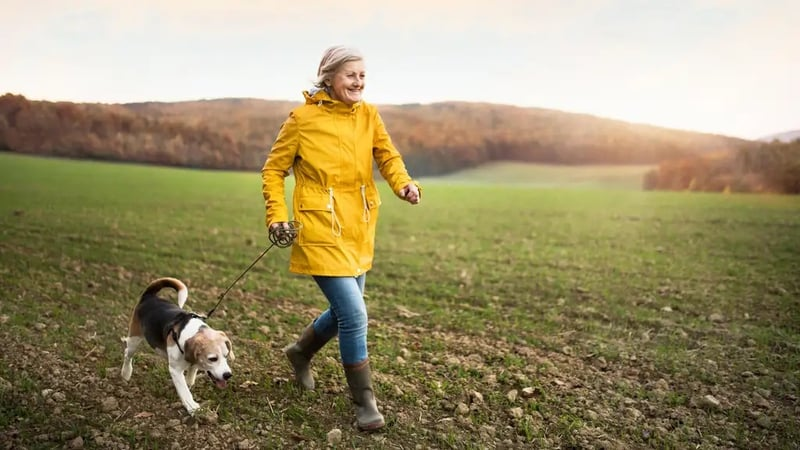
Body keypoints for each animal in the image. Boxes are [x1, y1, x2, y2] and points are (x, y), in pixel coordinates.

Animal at [120, 278, 234, 414]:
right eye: (213, 359)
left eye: (226, 356)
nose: (228, 375)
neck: (193, 332)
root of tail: (149, 296)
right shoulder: (175, 370)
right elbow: (184, 389)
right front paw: (192, 406)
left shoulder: (193, 363)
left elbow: (190, 376)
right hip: (135, 339)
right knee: (127, 354)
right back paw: (126, 373)